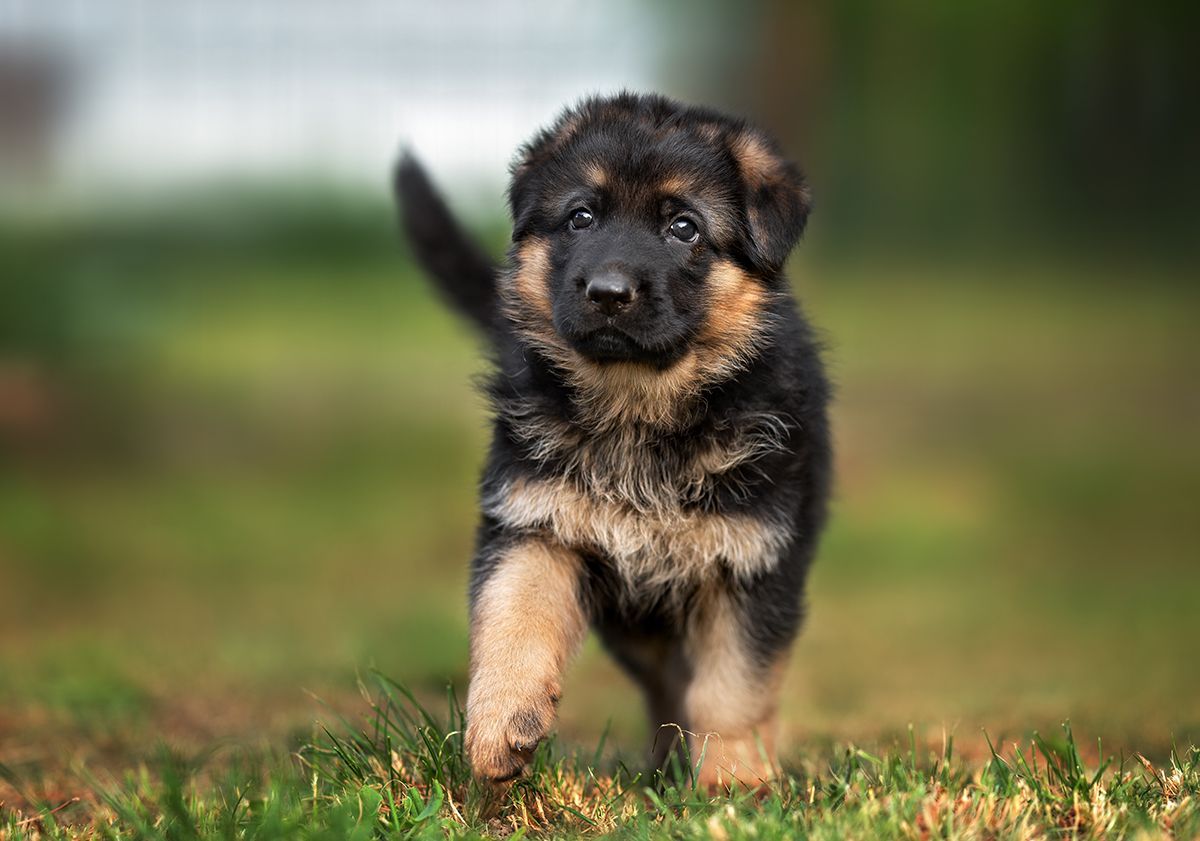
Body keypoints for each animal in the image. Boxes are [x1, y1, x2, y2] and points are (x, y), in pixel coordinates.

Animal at [398, 91, 830, 787]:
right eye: (581, 217)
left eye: (683, 227)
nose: (607, 293)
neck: (637, 407)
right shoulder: (536, 523)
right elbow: (512, 619)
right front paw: (499, 726)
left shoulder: (750, 564)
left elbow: (732, 689)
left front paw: (734, 784)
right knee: (661, 687)